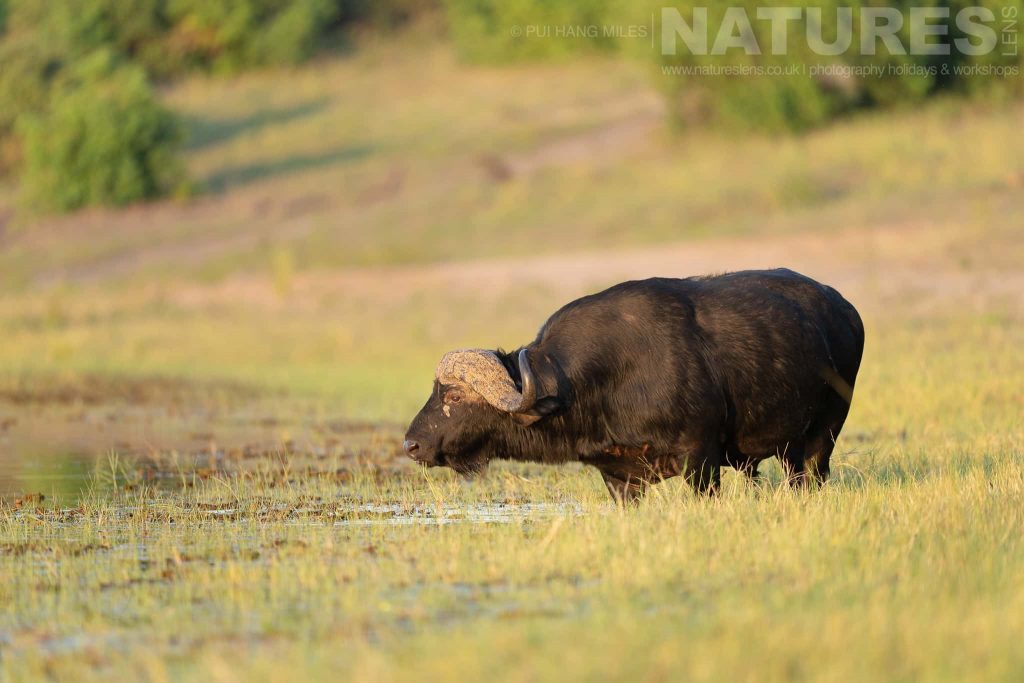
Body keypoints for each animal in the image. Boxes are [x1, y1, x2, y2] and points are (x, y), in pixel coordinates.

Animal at [403, 269, 864, 502]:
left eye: (454, 394)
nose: (411, 445)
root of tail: (844, 308)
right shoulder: (618, 478)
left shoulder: (700, 458)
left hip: (823, 435)